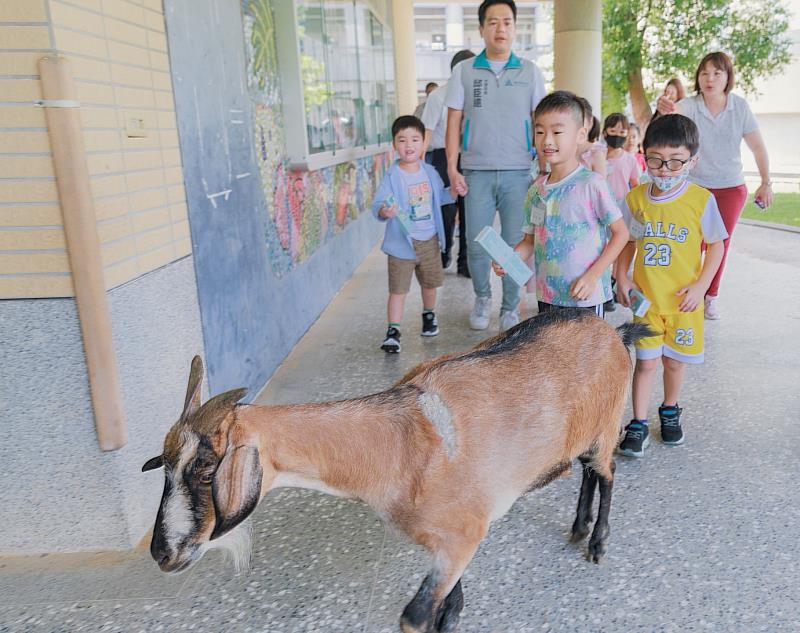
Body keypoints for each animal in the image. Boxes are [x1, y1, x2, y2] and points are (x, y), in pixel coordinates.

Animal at [141, 308, 648, 628]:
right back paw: (578, 527)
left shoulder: (463, 533)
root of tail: (616, 332)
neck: (397, 445)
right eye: (164, 466)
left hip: (606, 426)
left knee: (606, 474)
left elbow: (414, 616)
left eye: (206, 469)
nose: (162, 554)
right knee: (588, 473)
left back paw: (597, 542)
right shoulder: (455, 538)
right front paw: (454, 613)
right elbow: (449, 591)